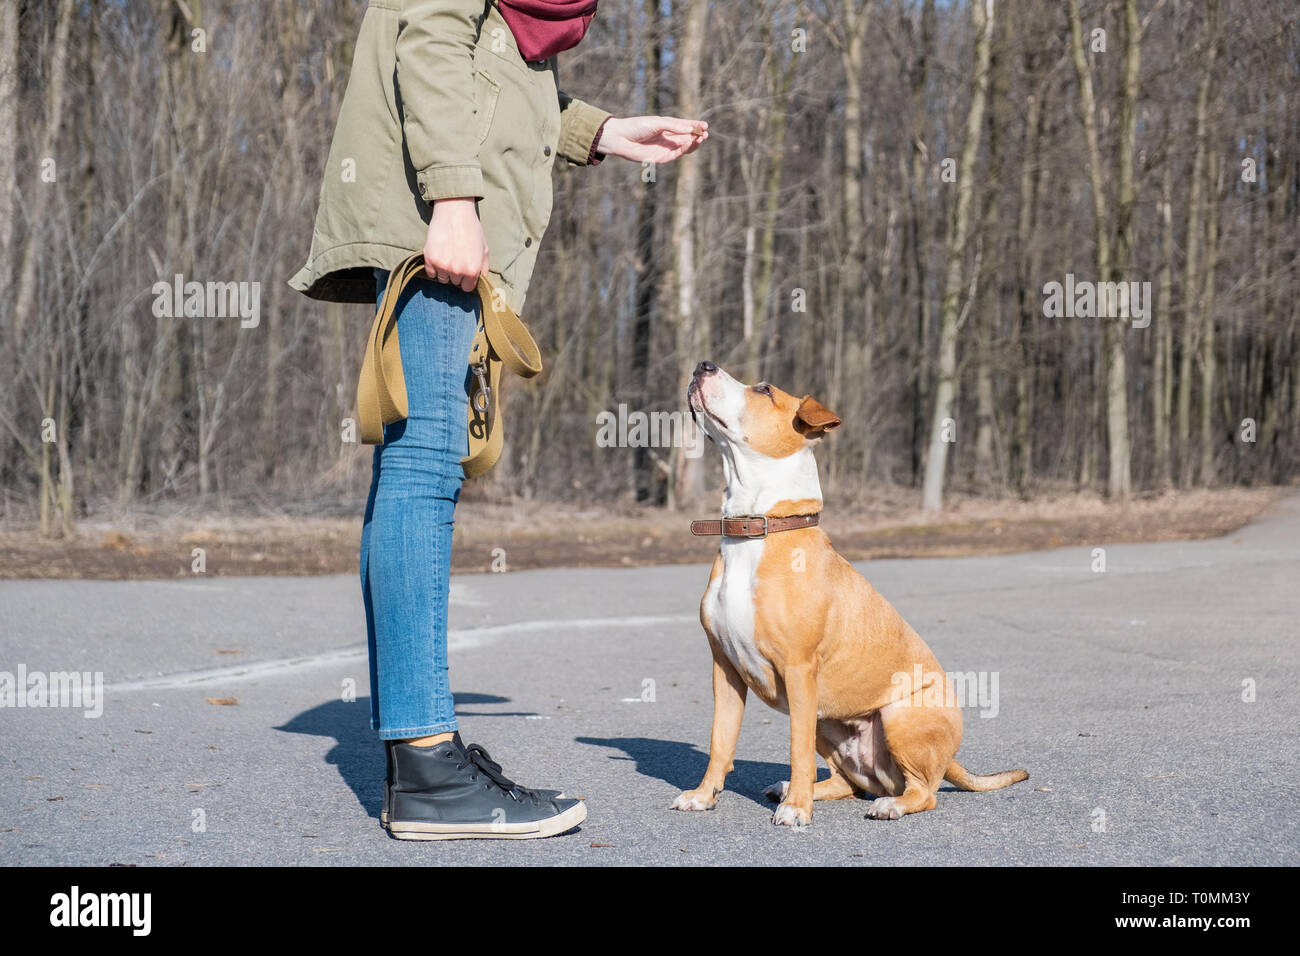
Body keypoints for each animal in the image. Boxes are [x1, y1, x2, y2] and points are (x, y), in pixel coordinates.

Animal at [670, 361, 1024, 827]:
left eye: (764, 389)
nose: (702, 365)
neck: (758, 527)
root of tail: (950, 761)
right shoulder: (724, 668)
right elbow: (720, 741)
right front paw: (703, 796)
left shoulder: (799, 671)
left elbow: (796, 749)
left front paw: (796, 811)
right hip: (828, 720)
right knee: (849, 782)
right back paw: (793, 789)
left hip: (896, 714)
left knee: (922, 792)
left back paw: (886, 804)